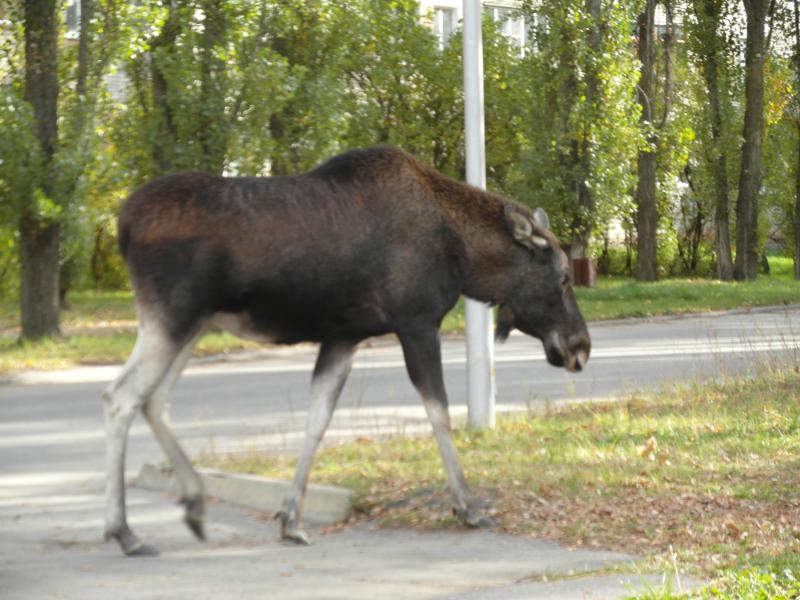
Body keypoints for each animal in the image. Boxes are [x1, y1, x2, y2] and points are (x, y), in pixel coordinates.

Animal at [103, 146, 592, 556]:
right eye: (563, 277)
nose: (581, 346)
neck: (465, 259)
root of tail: (121, 225)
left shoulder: (344, 336)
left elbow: (318, 419)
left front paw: (291, 519)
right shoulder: (416, 323)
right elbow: (439, 412)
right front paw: (467, 506)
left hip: (192, 324)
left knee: (154, 400)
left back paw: (193, 503)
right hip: (172, 317)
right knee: (121, 397)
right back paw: (124, 530)